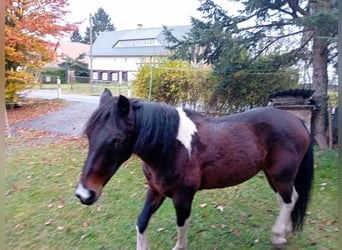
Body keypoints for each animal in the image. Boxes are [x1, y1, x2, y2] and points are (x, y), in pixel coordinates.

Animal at [75, 89, 312, 249]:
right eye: (89, 134)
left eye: (117, 139)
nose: (84, 194)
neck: (170, 147)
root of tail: (297, 120)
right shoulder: (155, 191)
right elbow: (141, 221)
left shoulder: (183, 197)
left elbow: (182, 224)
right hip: (272, 175)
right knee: (288, 199)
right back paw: (285, 231)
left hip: (281, 175)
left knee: (290, 199)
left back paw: (279, 235)